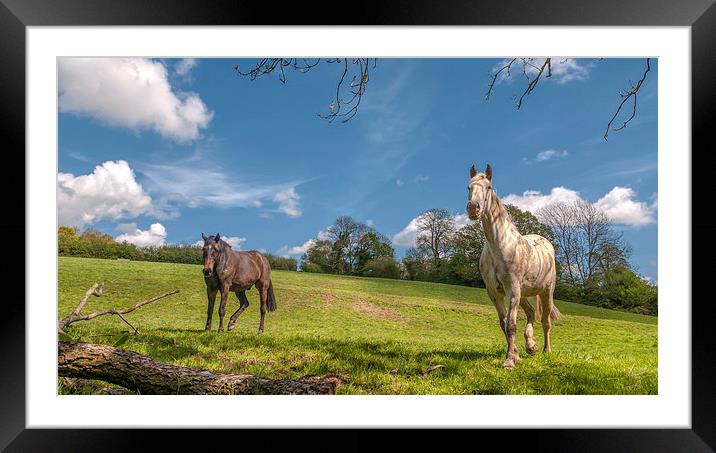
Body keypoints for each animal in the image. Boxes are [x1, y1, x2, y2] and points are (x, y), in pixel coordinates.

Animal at [468, 162, 564, 368]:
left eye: (488, 187)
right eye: (468, 187)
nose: (473, 209)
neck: (499, 246)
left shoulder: (512, 289)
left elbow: (511, 325)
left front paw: (510, 362)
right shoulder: (494, 293)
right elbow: (503, 324)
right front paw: (515, 354)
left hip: (545, 292)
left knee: (545, 321)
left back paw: (546, 350)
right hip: (523, 294)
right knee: (531, 313)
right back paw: (531, 346)